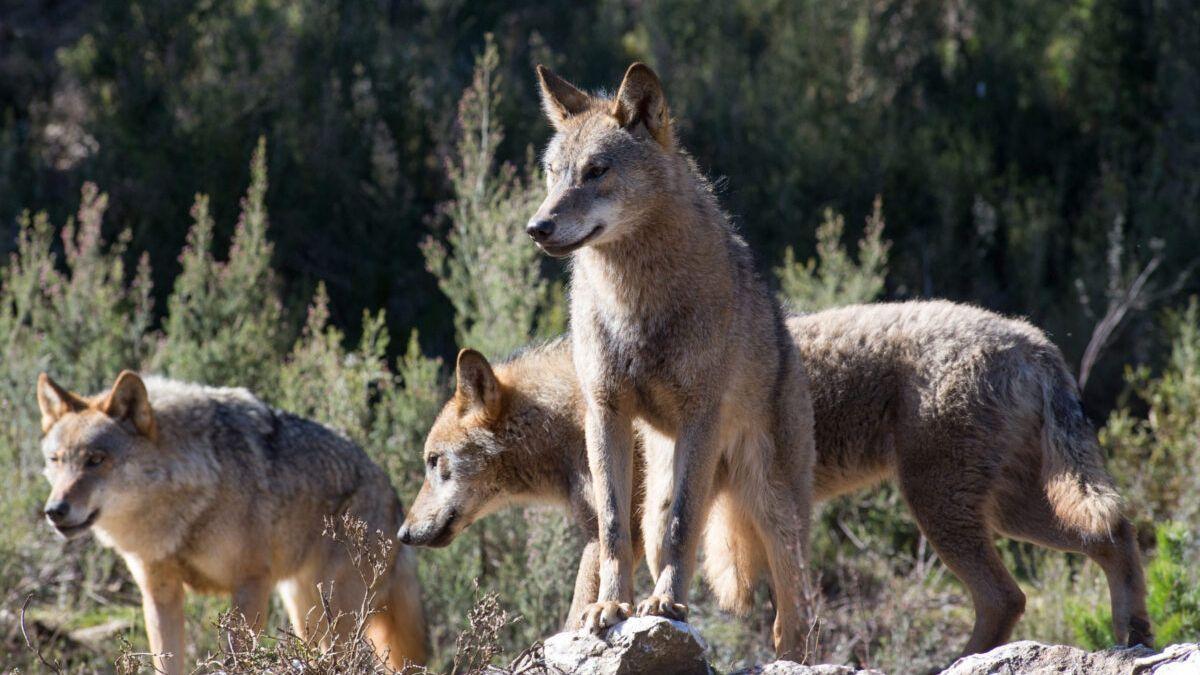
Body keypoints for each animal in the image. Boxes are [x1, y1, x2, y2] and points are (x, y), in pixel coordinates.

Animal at [37, 369, 429, 667]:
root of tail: (393, 495)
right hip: (306, 614)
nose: (54, 511)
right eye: (56, 460)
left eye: (96, 460)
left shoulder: (251, 584)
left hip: (337, 619)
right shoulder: (159, 593)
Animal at [523, 60, 816, 653]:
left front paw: (665, 606)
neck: (635, 302)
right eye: (552, 172)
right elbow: (613, 529)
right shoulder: (605, 413)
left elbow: (685, 528)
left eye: (596, 171)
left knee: (792, 618)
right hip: (660, 496)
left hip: (775, 513)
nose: (537, 228)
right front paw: (610, 607)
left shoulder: (700, 415)